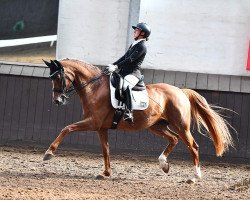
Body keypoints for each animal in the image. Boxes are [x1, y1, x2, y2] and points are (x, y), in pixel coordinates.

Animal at [43, 58, 234, 183]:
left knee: (192, 146)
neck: (94, 88)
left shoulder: (93, 123)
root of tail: (181, 91)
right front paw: (106, 173)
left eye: (57, 77)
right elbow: (106, 150)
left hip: (181, 126)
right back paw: (164, 164)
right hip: (156, 126)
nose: (57, 101)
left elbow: (66, 128)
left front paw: (49, 153)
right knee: (173, 139)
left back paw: (195, 177)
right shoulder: (101, 128)